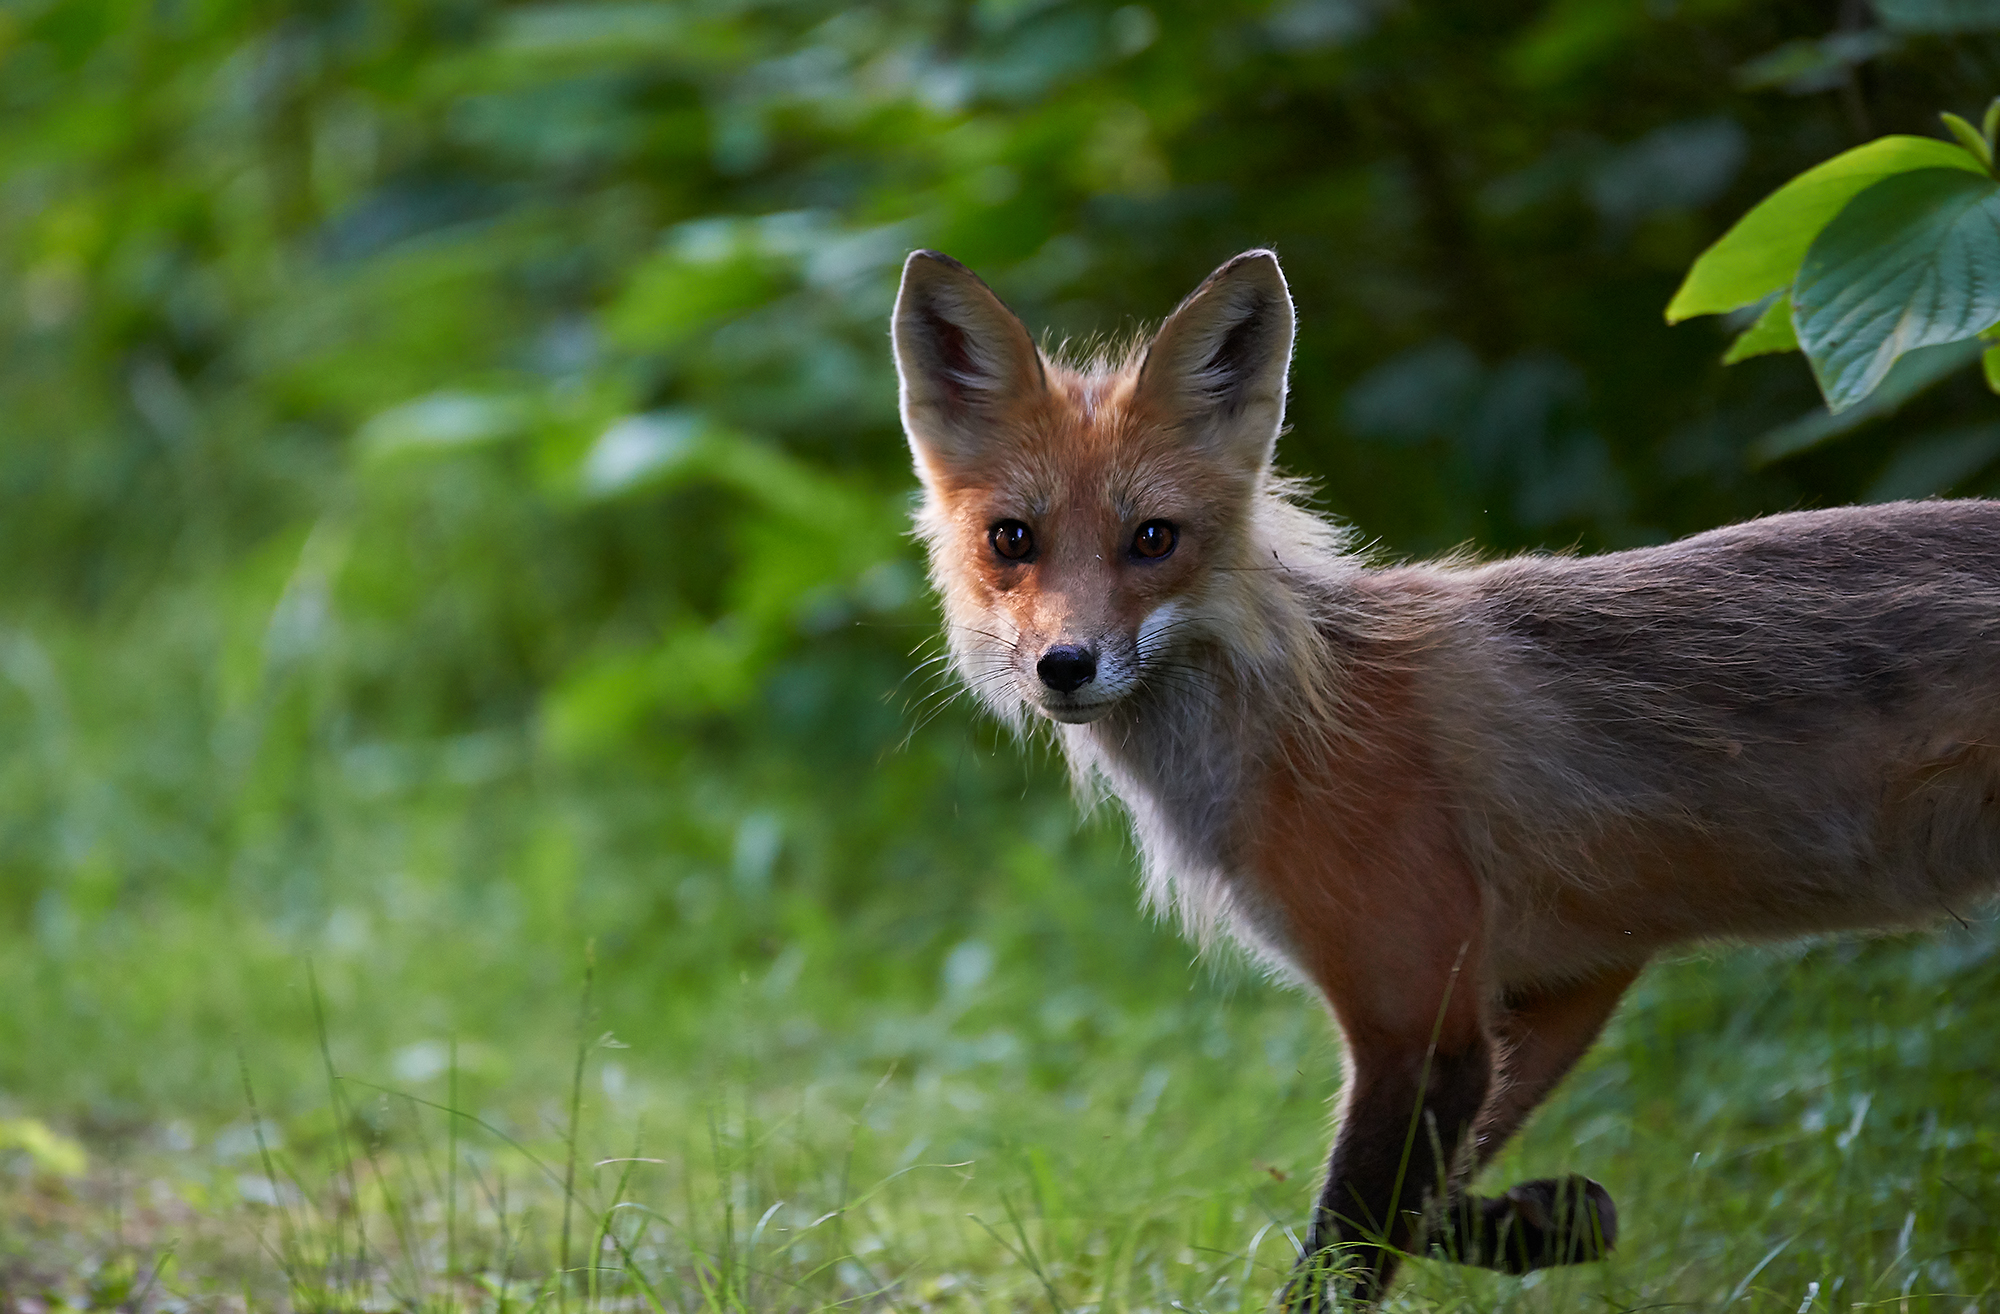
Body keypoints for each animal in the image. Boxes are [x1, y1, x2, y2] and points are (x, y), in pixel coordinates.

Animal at [890, 246, 2000, 1301]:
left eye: (1152, 540)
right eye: (1012, 539)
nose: (1065, 666)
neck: (1293, 729)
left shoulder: (1417, 1021)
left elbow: (1342, 1257)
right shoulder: (1559, 981)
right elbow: (1431, 1211)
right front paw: (1551, 1220)